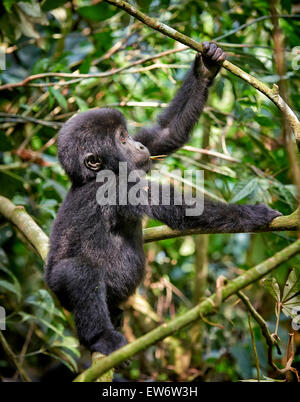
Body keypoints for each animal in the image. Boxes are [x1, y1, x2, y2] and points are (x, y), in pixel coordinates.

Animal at [45, 43, 282, 354]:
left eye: (128, 135)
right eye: (122, 140)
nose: (137, 145)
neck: (91, 177)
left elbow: (165, 134)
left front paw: (205, 68)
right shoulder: (118, 186)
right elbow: (184, 209)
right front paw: (255, 214)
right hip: (58, 284)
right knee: (78, 273)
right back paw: (101, 338)